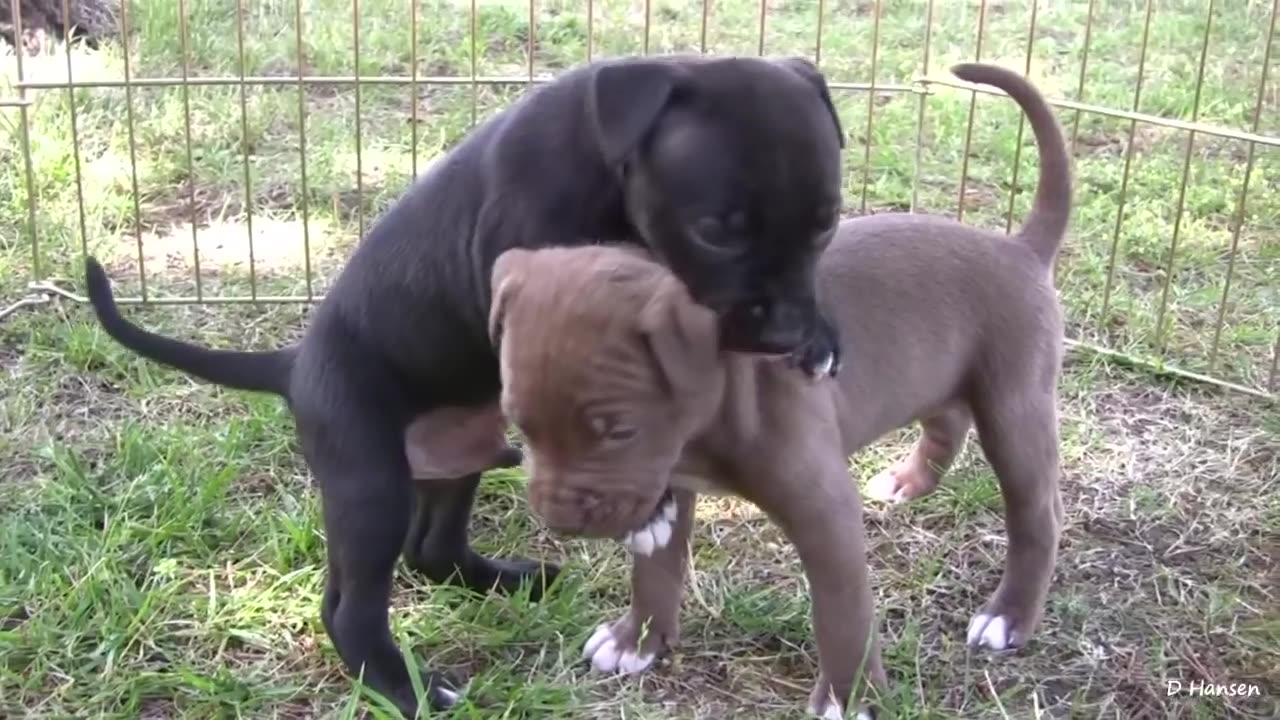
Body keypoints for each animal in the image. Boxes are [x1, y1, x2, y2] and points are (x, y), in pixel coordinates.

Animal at [80, 51, 844, 712]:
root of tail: (294, 364)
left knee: (431, 550)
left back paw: (501, 582)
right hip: (369, 482)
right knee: (351, 604)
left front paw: (820, 333)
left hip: (457, 457)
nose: (784, 333)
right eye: (717, 229)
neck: (605, 164)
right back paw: (406, 687)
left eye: (827, 223)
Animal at [414, 64, 1064, 712]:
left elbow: (843, 614)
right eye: (521, 428)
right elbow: (656, 569)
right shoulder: (670, 484)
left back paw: (1008, 616)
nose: (559, 520)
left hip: (1015, 407)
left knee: (1035, 515)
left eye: (620, 432)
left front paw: (849, 698)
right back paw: (908, 481)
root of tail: (1017, 247)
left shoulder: (824, 514)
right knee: (946, 419)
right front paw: (637, 641)